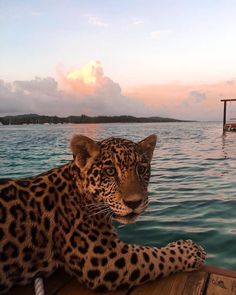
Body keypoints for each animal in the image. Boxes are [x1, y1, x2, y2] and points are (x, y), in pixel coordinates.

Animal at [0, 135, 206, 294]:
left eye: (141, 169)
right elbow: (155, 256)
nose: (134, 203)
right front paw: (191, 250)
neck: (79, 192)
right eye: (110, 171)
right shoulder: (102, 259)